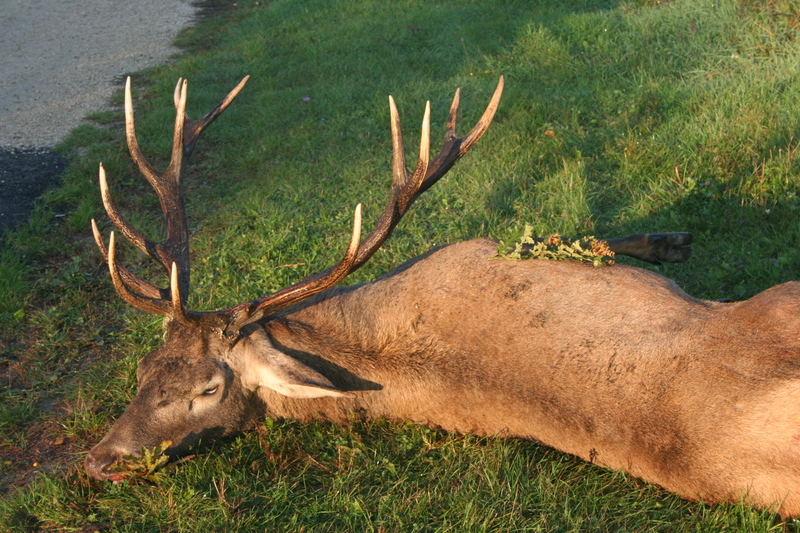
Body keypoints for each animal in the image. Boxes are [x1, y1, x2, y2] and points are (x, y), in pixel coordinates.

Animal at [85, 74, 800, 519]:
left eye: (206, 387)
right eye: (144, 372)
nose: (99, 460)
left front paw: (668, 238)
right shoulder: (482, 246)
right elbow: (591, 237)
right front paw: (669, 240)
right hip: (783, 299)